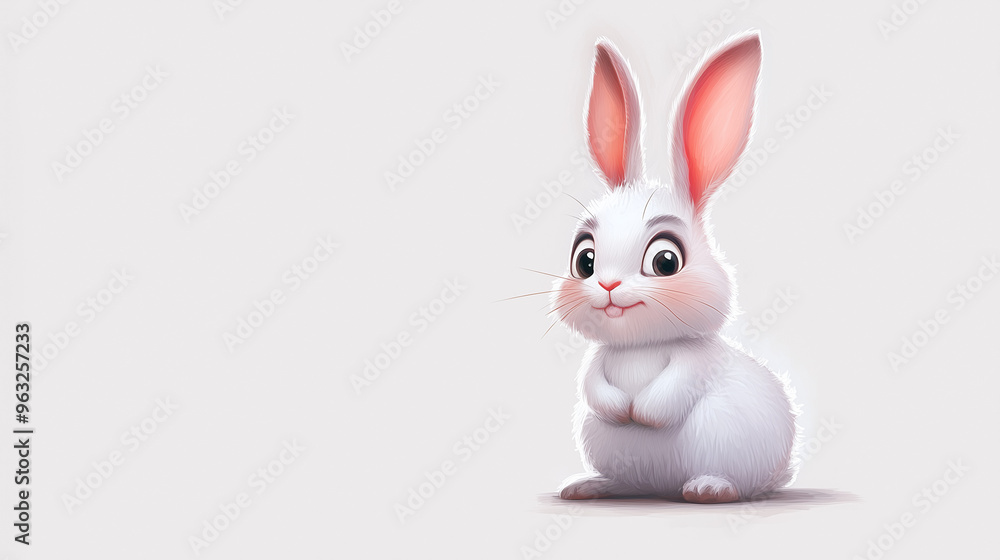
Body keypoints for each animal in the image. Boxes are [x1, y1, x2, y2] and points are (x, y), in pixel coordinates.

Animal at [552, 32, 799, 503]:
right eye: (584, 259)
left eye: (665, 261)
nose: (608, 285)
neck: (639, 346)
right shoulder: (598, 362)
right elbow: (593, 386)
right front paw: (621, 409)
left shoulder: (694, 364)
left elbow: (669, 394)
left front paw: (640, 413)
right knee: (626, 481)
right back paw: (589, 486)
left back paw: (709, 488)